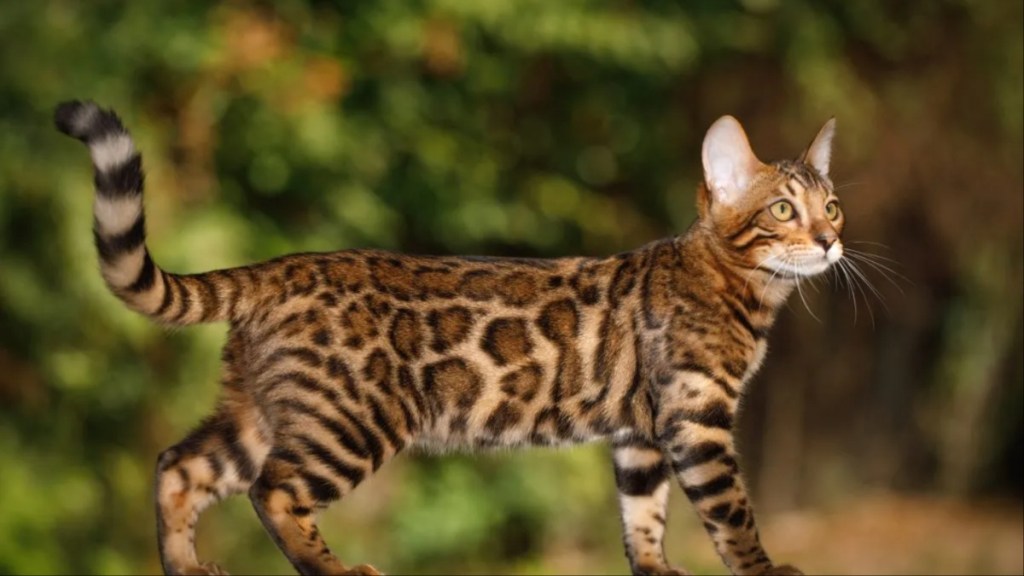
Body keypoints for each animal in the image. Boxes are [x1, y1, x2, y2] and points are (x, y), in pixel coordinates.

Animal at [54, 99, 839, 573]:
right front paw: (766, 569)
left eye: (832, 205)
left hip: (261, 412)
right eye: (782, 210)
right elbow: (731, 513)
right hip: (352, 421)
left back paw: (186, 566)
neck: (738, 287)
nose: (832, 240)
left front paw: (657, 569)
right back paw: (333, 568)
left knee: (179, 466)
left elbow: (642, 514)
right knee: (272, 490)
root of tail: (282, 265)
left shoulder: (640, 432)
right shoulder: (694, 419)